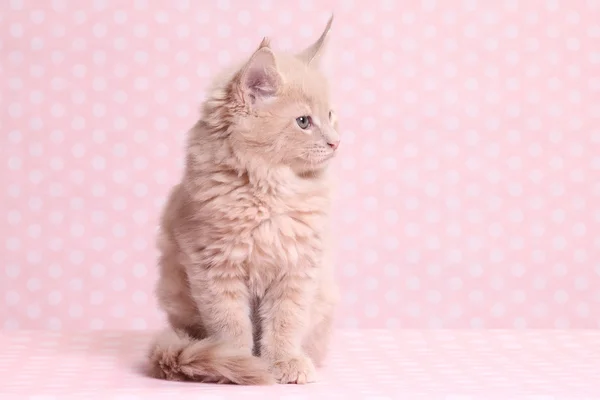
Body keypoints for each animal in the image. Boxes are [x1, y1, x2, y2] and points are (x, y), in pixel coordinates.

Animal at [147, 16, 340, 384]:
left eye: (331, 115)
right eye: (303, 121)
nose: (336, 142)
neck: (269, 192)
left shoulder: (297, 270)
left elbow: (285, 323)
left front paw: (285, 362)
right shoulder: (214, 268)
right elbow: (230, 326)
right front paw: (236, 362)